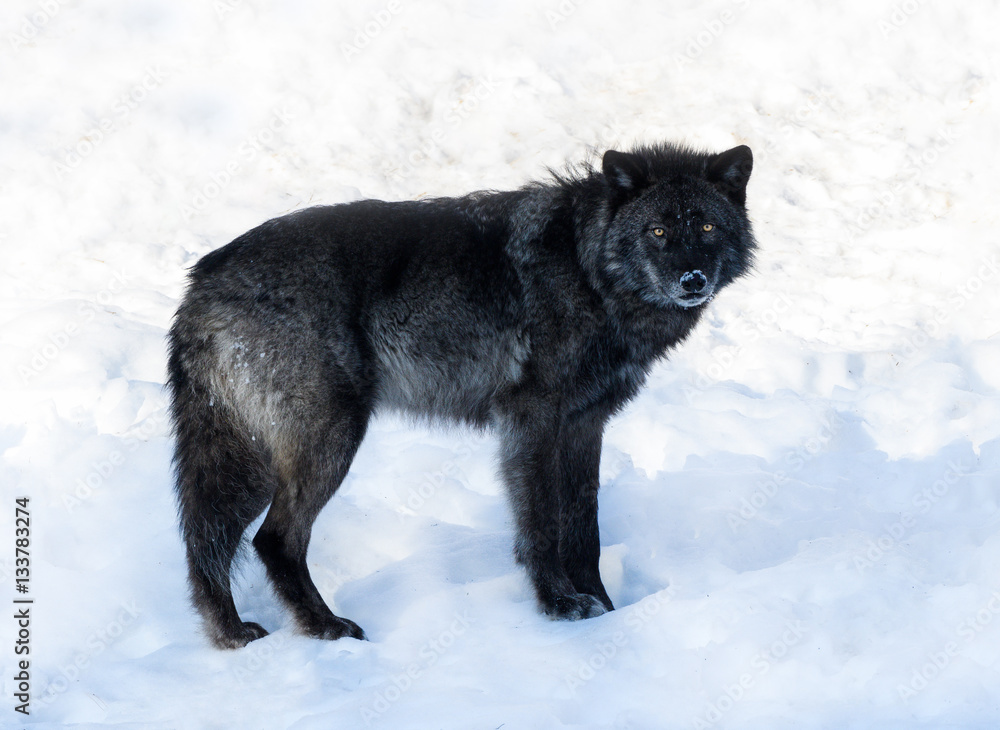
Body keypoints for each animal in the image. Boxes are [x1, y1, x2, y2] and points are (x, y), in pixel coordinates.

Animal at [168, 143, 756, 648]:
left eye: (706, 226)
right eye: (657, 230)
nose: (692, 279)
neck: (589, 270)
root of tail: (203, 279)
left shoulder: (585, 424)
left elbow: (583, 531)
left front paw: (606, 607)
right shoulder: (530, 420)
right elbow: (541, 525)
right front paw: (560, 606)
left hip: (247, 456)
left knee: (205, 539)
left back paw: (231, 633)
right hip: (326, 441)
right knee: (273, 540)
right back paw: (325, 627)